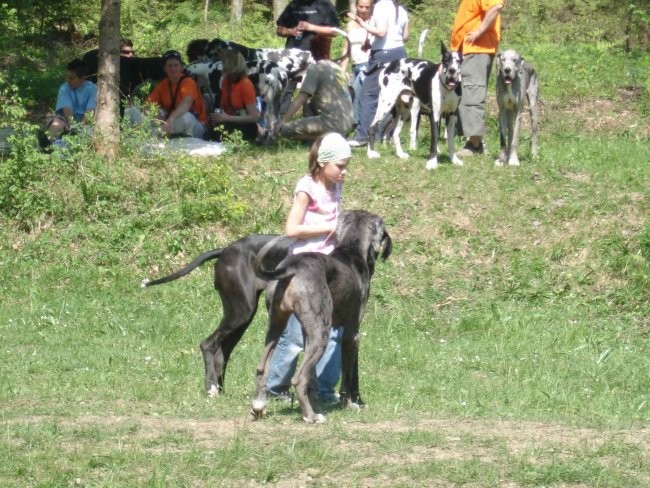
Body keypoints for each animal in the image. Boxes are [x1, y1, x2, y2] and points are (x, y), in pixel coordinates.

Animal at [364, 42, 460, 172]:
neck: (447, 88)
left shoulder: (451, 115)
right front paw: (432, 162)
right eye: (446, 60)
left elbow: (450, 141)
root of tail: (389, 64)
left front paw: (454, 160)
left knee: (395, 133)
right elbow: (433, 139)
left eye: (459, 61)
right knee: (372, 128)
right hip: (386, 105)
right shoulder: (433, 116)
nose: (452, 70)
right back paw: (371, 153)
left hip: (403, 111)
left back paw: (400, 154)